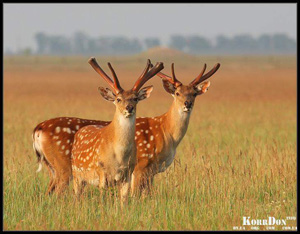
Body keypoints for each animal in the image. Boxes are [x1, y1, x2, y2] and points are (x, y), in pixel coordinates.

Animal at [33, 60, 220, 196]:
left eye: (194, 93)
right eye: (178, 93)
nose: (187, 104)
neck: (166, 133)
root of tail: (38, 129)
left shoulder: (150, 172)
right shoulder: (141, 166)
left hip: (52, 167)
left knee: (48, 192)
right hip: (63, 166)